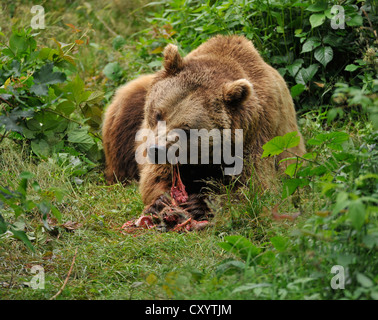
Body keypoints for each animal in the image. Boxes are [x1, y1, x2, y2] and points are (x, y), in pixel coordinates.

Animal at [102, 34, 306, 215]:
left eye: (186, 129)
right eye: (158, 114)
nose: (156, 150)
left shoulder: (258, 135)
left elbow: (257, 188)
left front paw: (201, 203)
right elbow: (155, 177)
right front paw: (161, 200)